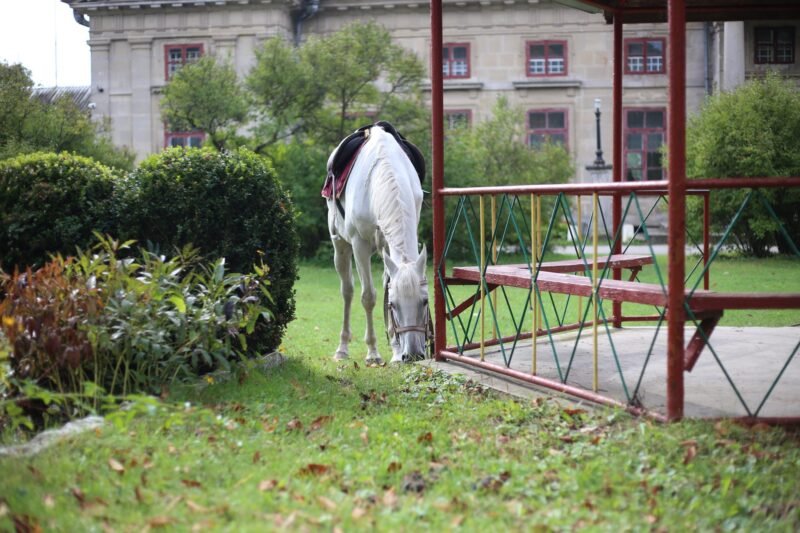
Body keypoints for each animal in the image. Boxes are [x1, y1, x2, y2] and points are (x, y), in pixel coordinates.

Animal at [324, 123, 428, 364]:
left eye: (425, 302)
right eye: (394, 305)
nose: (413, 354)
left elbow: (387, 288)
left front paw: (396, 352)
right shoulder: (359, 245)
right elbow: (368, 297)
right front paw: (373, 353)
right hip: (340, 247)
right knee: (348, 290)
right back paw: (342, 349)